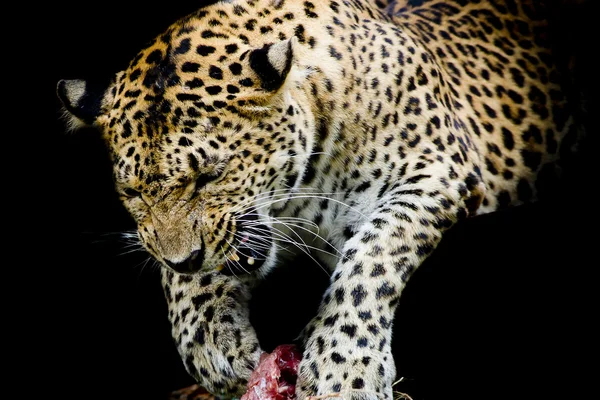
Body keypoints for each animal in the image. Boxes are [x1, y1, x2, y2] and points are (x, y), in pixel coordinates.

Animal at [55, 1, 580, 398]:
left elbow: (376, 251)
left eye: (209, 176)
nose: (186, 259)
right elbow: (180, 282)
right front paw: (214, 345)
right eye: (132, 192)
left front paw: (343, 367)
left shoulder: (441, 168)